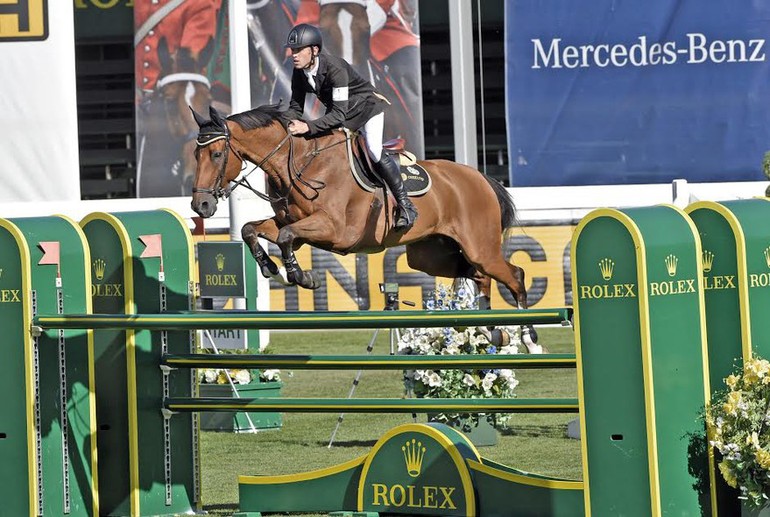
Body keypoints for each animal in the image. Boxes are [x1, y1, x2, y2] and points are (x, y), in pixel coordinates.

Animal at [190, 104, 540, 346]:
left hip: (479, 247)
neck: (300, 162)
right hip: (430, 256)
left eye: (217, 154)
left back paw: (528, 338)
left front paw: (302, 277)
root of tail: (480, 177)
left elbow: (287, 237)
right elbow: (252, 229)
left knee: (514, 275)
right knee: (479, 275)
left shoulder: (333, 230)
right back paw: (490, 332)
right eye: (196, 154)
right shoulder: (294, 223)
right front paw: (270, 268)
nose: (200, 206)